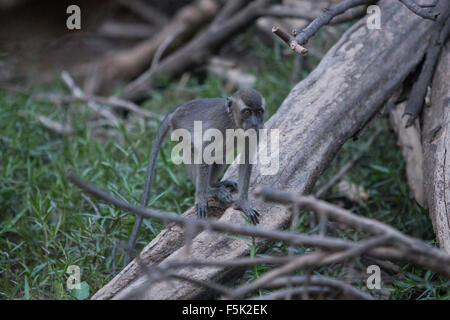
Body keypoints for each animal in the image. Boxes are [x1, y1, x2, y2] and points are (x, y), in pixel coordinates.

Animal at [125, 89, 266, 264]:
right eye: (247, 112)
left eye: (259, 112)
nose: (255, 123)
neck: (234, 122)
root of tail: (178, 108)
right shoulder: (220, 127)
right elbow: (205, 152)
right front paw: (201, 197)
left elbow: (246, 158)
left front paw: (243, 203)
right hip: (179, 126)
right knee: (196, 150)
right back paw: (210, 190)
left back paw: (214, 185)